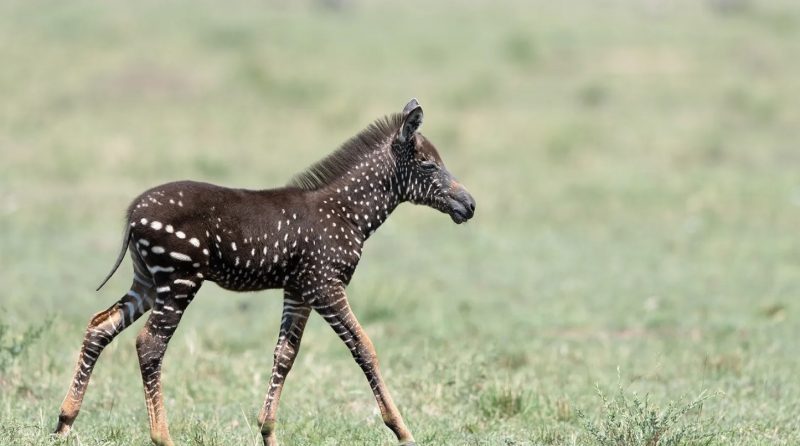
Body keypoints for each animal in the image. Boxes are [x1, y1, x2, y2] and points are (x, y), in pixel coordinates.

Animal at [54, 98, 476, 446]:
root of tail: (132, 213)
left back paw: (64, 422)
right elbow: (364, 347)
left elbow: (284, 355)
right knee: (149, 344)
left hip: (147, 281)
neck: (347, 214)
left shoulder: (299, 290)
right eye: (429, 165)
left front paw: (268, 432)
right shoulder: (325, 285)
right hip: (178, 280)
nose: (469, 205)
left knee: (99, 326)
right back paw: (162, 437)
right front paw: (402, 429)